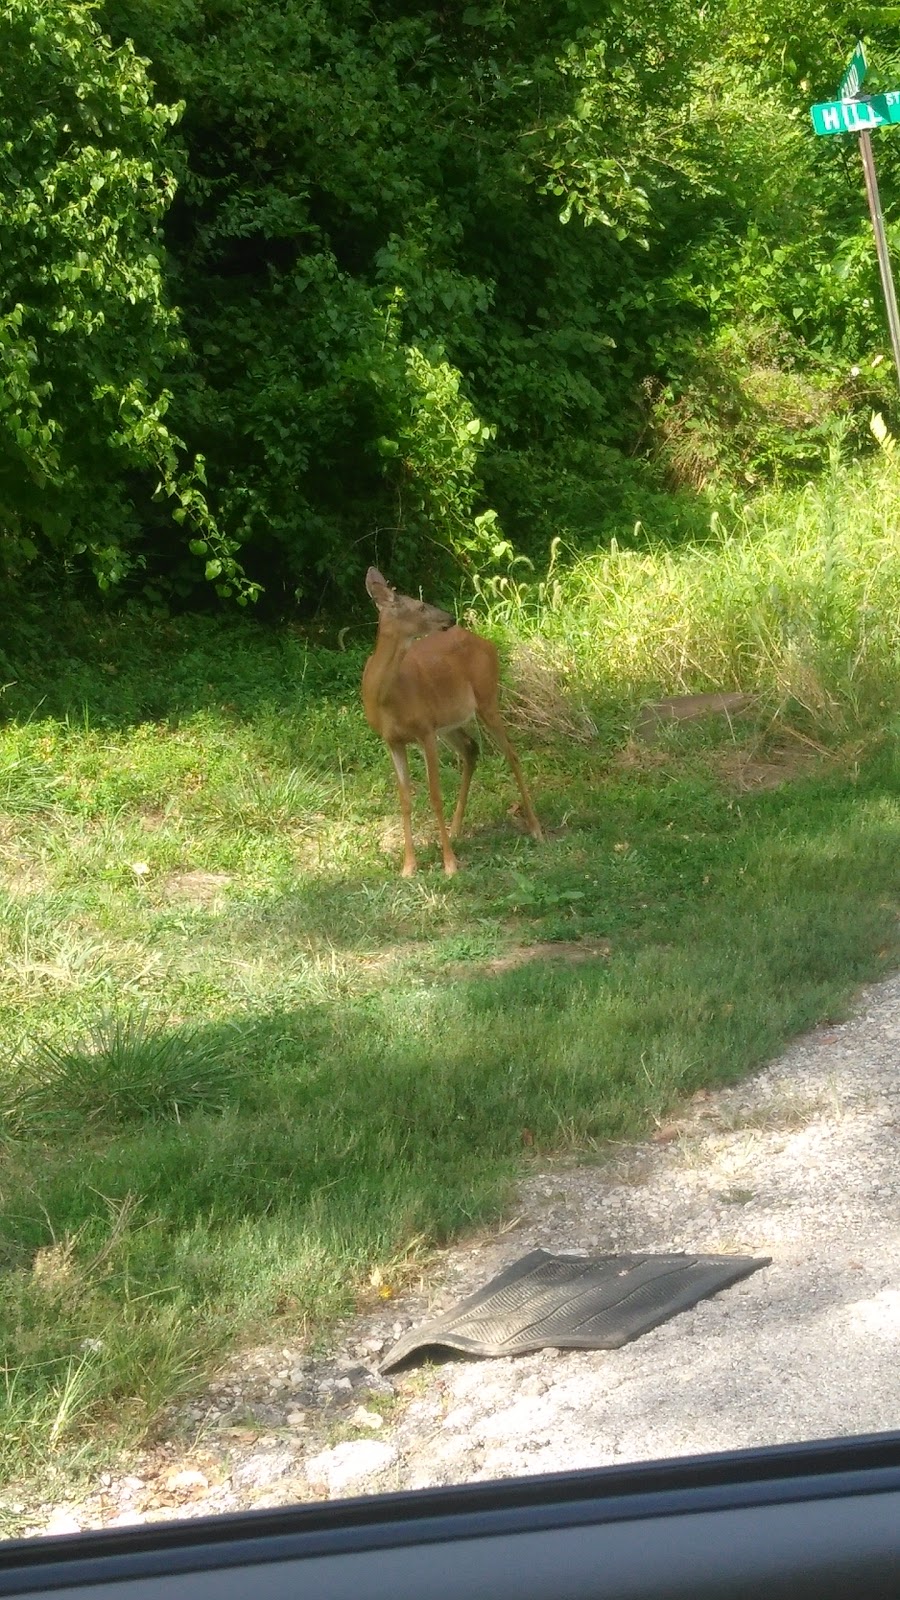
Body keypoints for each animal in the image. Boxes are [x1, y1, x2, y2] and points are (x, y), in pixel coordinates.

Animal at [358, 569, 538, 883]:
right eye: (419, 606)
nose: (449, 618)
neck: (387, 698)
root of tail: (487, 642)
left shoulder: (425, 731)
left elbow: (435, 795)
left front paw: (450, 864)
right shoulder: (393, 740)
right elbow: (405, 799)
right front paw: (408, 866)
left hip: (487, 698)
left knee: (511, 754)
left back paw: (536, 827)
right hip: (450, 721)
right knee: (471, 748)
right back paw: (456, 830)